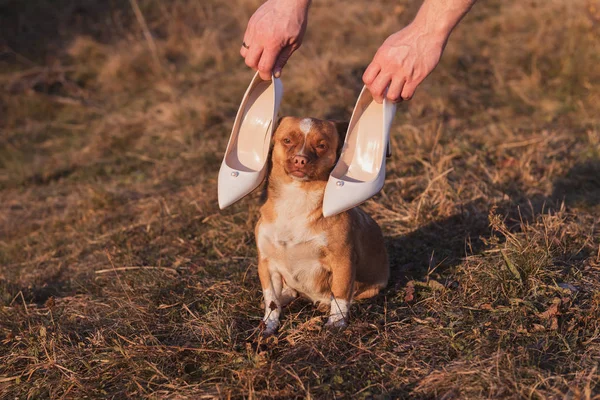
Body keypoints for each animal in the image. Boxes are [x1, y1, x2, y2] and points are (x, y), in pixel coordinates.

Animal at [254, 116, 390, 334]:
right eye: (287, 141)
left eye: (321, 145)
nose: (300, 159)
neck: (296, 197)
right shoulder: (267, 264)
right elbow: (271, 300)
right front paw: (268, 324)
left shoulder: (342, 260)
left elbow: (340, 294)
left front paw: (336, 324)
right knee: (288, 292)